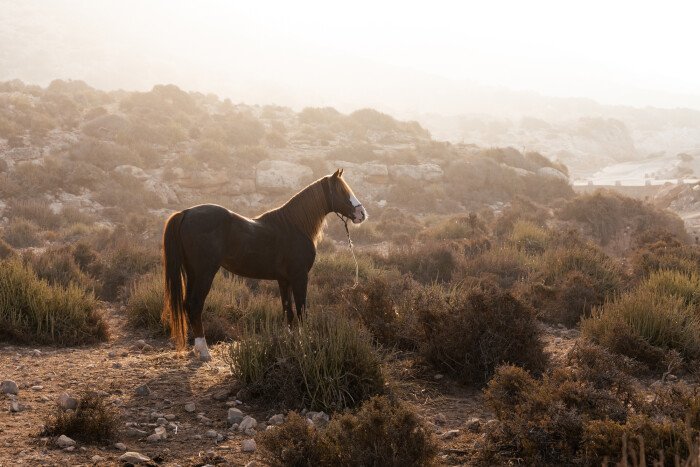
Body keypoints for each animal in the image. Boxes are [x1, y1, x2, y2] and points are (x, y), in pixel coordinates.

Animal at [159, 169, 366, 362]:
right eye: (341, 190)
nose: (362, 214)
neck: (294, 226)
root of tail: (186, 213)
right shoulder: (300, 277)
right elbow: (301, 311)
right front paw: (304, 344)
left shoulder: (284, 280)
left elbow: (288, 311)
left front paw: (290, 343)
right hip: (205, 273)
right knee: (195, 305)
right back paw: (204, 351)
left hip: (192, 273)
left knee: (187, 305)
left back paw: (196, 349)